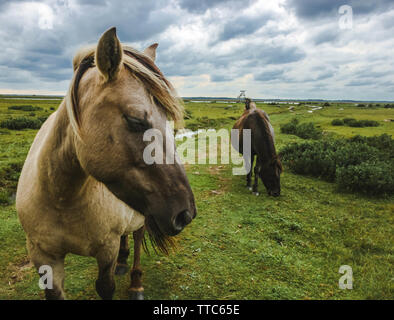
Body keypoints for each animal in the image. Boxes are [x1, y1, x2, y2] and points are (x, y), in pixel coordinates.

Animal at [15, 27, 197, 300]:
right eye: (135, 120)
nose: (185, 214)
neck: (61, 198)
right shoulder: (43, 256)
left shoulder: (105, 250)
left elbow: (106, 286)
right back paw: (123, 262)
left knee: (137, 238)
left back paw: (135, 283)